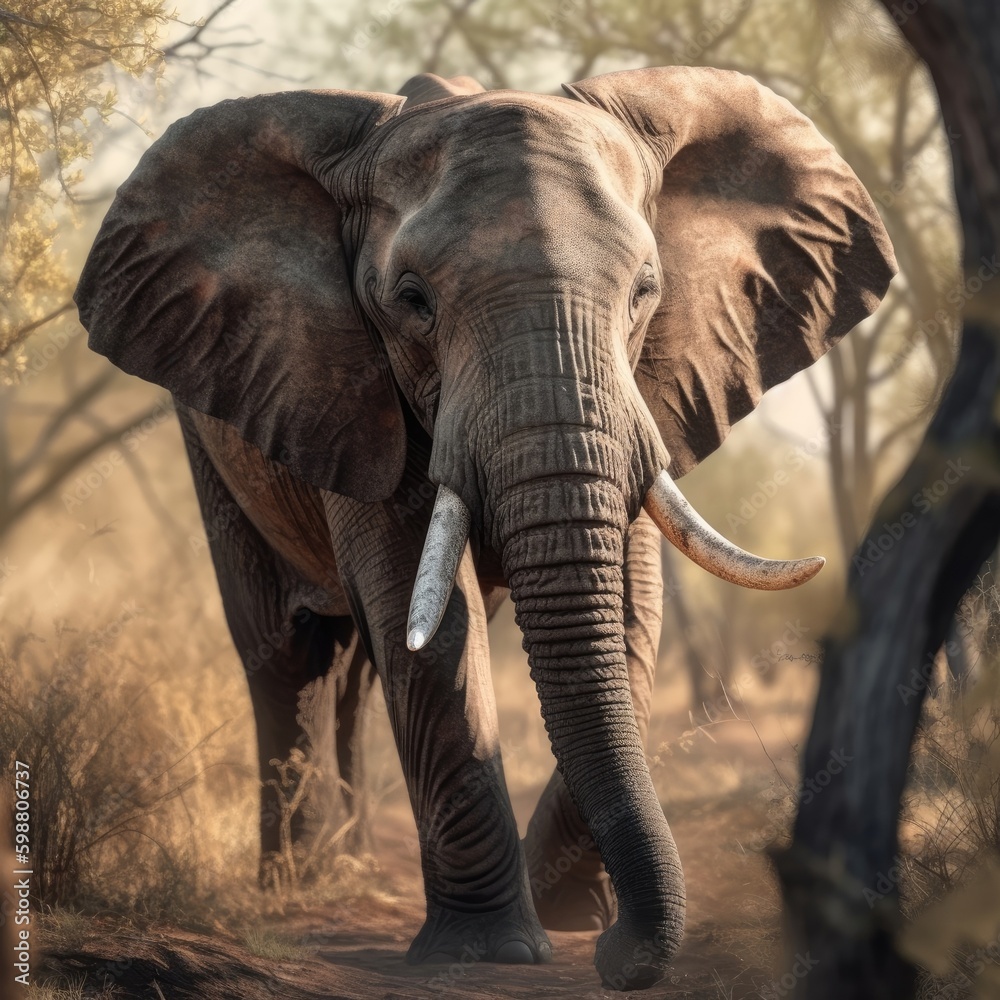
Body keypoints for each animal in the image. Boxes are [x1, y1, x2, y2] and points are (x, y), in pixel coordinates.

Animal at [74, 67, 895, 990]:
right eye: (412, 302)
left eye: (646, 291)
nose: (617, 959)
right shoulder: (357, 385)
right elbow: (430, 625)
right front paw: (492, 948)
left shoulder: (650, 396)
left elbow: (631, 614)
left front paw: (575, 916)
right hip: (214, 430)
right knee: (288, 654)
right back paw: (300, 885)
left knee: (356, 667)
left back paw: (350, 866)